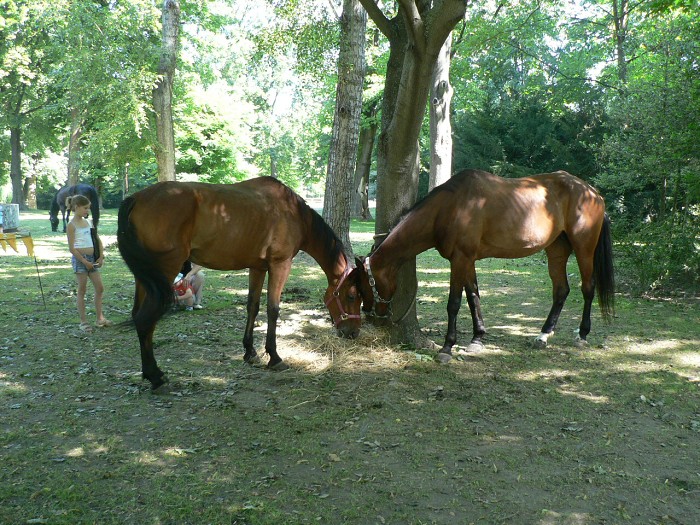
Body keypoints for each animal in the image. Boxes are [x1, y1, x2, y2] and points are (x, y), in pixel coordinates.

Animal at [117, 176, 360, 388]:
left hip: (146, 279)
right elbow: (273, 309)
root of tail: (136, 198)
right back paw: (156, 376)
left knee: (138, 317)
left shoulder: (258, 268)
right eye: (352, 295)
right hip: (165, 272)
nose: (353, 333)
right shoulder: (280, 265)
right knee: (145, 319)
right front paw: (274, 356)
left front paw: (250, 352)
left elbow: (252, 306)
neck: (294, 213)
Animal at [358, 170, 616, 362]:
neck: (450, 207)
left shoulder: (460, 260)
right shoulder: (467, 260)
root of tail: (593, 193)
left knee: (588, 288)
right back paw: (543, 335)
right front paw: (477, 339)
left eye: (361, 286)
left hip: (584, 249)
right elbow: (474, 297)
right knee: (561, 290)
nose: (369, 315)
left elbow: (454, 303)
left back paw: (582, 335)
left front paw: (447, 347)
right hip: (556, 250)